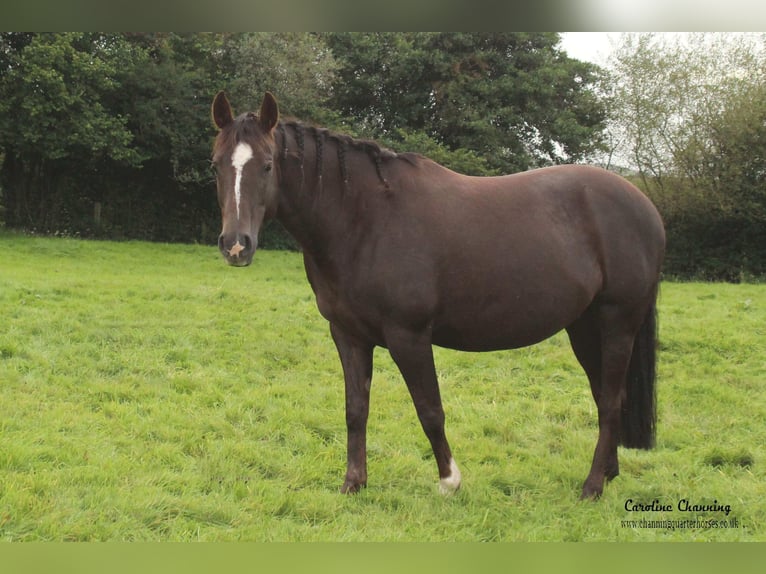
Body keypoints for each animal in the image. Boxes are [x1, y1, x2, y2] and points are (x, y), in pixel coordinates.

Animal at [210, 91, 665, 500]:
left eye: (267, 165)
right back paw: (608, 474)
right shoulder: (348, 335)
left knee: (610, 401)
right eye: (216, 165)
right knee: (606, 396)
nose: (236, 246)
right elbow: (355, 409)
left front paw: (449, 481)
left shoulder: (408, 336)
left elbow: (429, 409)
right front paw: (353, 484)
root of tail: (645, 206)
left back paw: (592, 486)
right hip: (585, 328)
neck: (364, 219)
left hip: (617, 323)